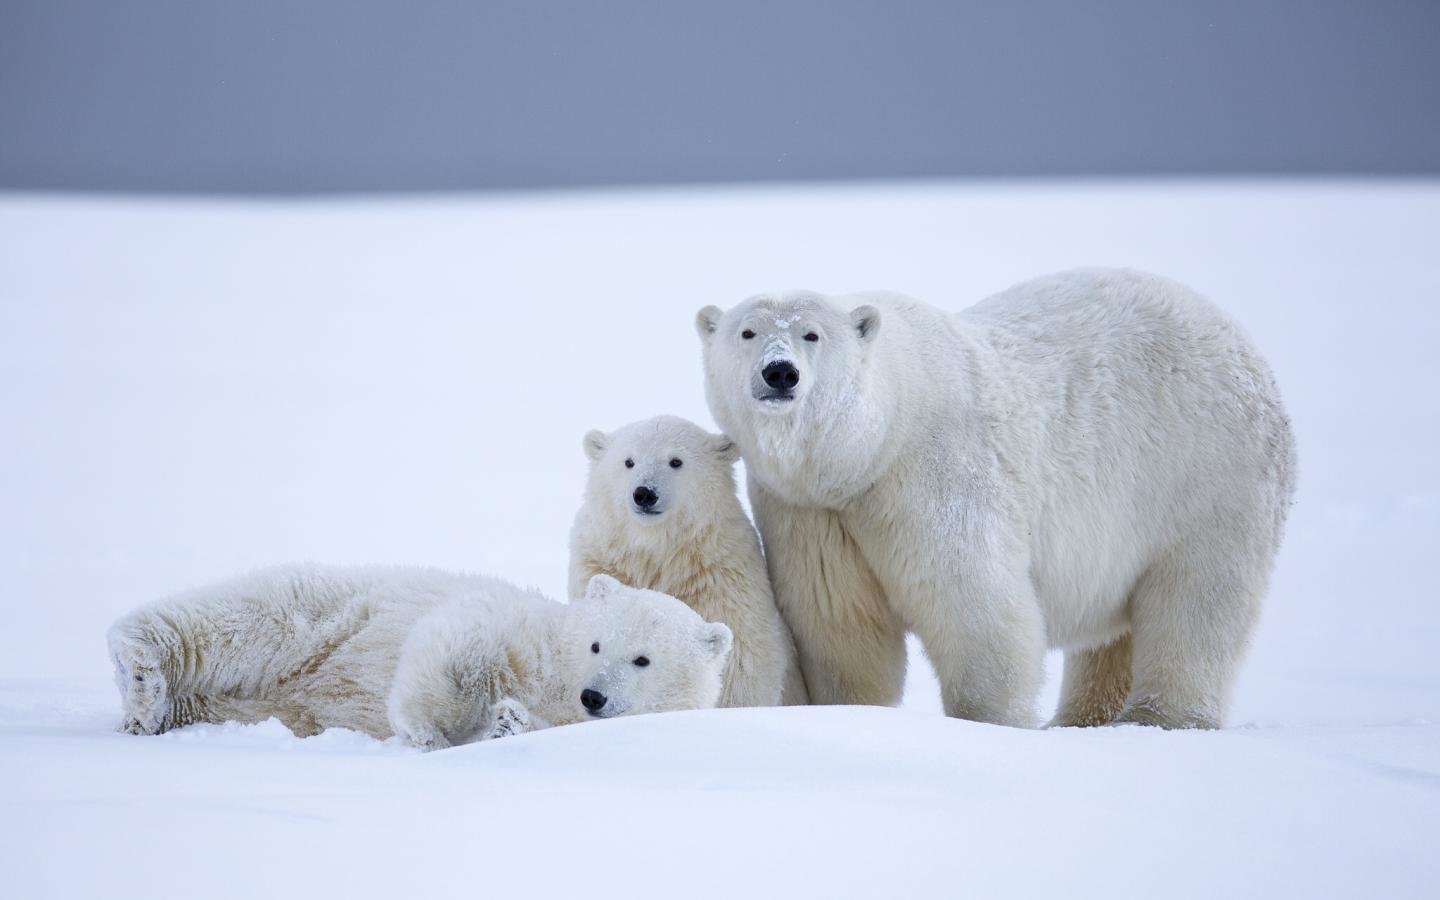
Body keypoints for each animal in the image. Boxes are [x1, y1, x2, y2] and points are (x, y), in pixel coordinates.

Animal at [107, 565, 732, 749]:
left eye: (643, 660)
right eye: (599, 643)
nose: (594, 695)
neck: (557, 678)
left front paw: (505, 722)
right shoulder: (520, 628)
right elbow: (459, 643)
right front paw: (425, 730)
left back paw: (156, 710)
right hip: (324, 614)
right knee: (239, 619)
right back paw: (139, 671)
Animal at [569, 415, 808, 708]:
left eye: (676, 461)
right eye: (628, 461)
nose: (645, 493)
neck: (658, 553)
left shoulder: (720, 579)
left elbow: (740, 661)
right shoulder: (600, 561)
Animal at [696, 267, 1296, 730]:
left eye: (812, 334)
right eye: (747, 332)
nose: (780, 372)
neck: (870, 448)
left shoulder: (934, 472)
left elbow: (975, 604)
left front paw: (991, 724)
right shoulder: (810, 510)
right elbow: (840, 623)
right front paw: (849, 710)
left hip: (1206, 474)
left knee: (1198, 599)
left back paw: (1160, 718)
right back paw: (1082, 719)